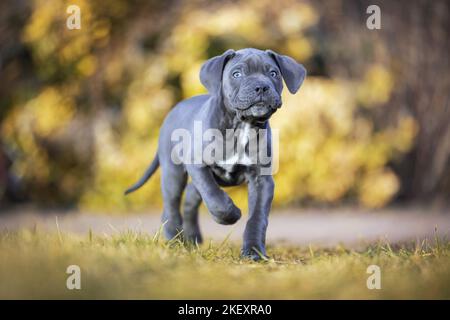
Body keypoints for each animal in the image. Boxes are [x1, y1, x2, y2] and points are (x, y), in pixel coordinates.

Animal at [125, 48, 306, 262]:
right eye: (237, 74)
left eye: (273, 73)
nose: (261, 87)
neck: (241, 125)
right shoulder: (197, 166)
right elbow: (215, 197)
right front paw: (231, 215)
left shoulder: (262, 180)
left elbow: (257, 218)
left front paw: (253, 251)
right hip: (172, 173)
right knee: (172, 205)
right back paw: (174, 240)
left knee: (190, 199)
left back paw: (192, 238)